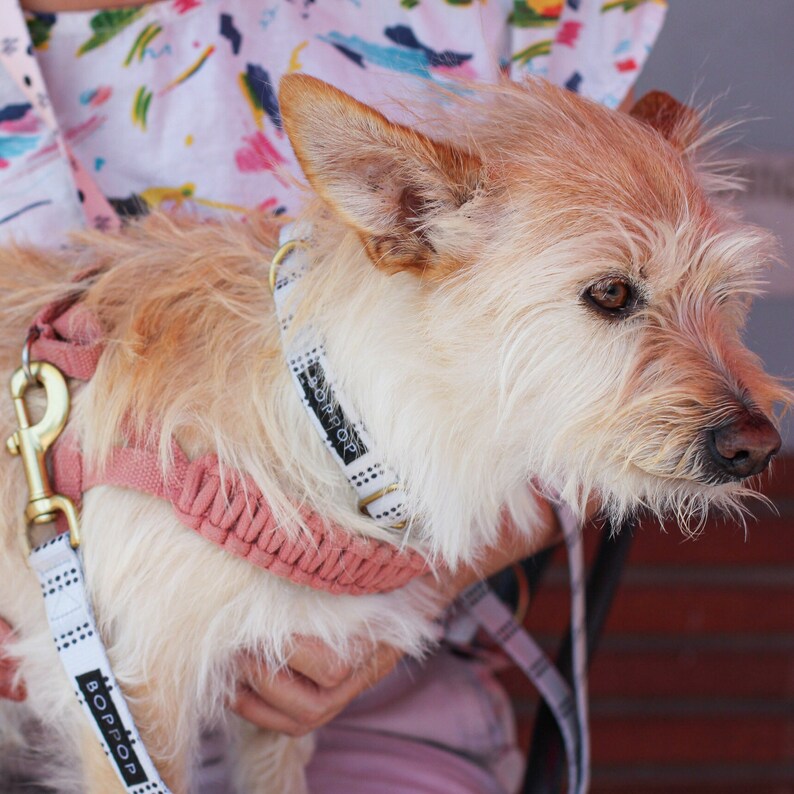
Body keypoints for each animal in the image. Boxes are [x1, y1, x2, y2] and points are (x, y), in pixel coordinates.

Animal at [0, 76, 784, 792]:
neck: (338, 422)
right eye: (612, 293)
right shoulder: (132, 697)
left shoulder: (280, 699)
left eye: (725, 297)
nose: (759, 445)